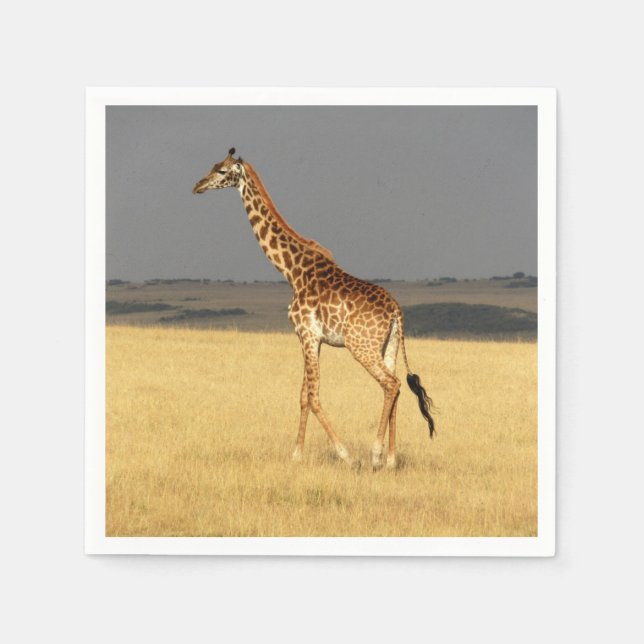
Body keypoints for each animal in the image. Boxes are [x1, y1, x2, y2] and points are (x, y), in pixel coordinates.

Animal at [193, 148, 435, 471]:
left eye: (221, 171)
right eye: (213, 166)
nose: (197, 186)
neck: (291, 270)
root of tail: (396, 311)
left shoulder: (306, 333)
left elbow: (313, 395)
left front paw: (346, 455)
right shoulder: (311, 338)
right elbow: (303, 395)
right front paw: (296, 454)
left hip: (361, 346)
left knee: (391, 383)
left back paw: (374, 455)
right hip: (390, 346)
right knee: (394, 389)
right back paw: (391, 460)